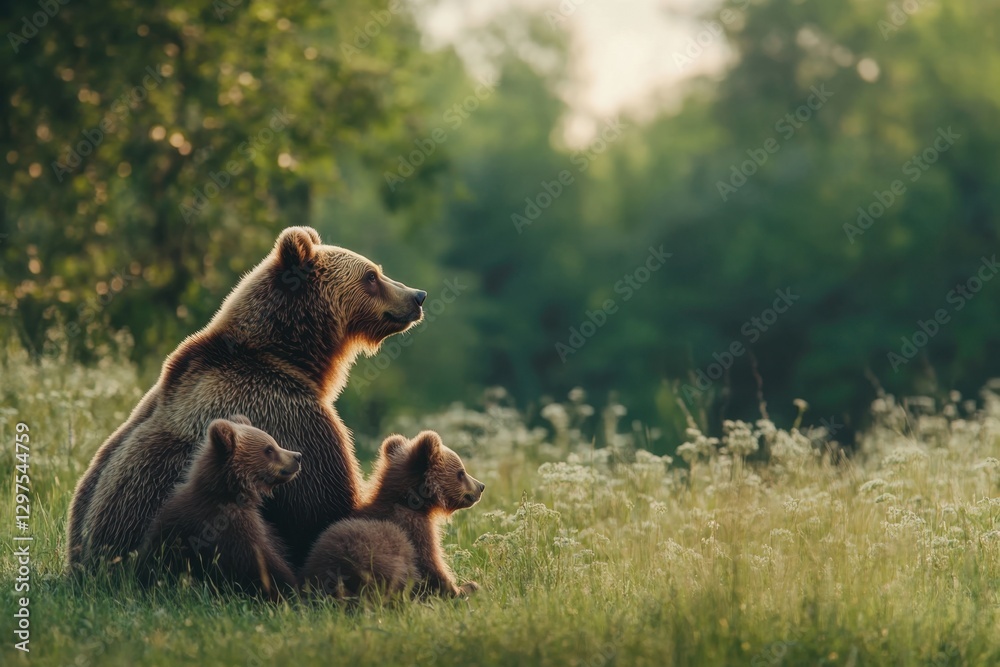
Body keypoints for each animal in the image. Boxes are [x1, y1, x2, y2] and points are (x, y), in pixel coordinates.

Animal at [136, 416, 301, 601]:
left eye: (274, 443)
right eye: (269, 449)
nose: (297, 456)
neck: (228, 492)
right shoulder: (227, 527)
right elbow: (261, 563)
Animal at [300, 431, 484, 599]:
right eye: (461, 472)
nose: (481, 486)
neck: (410, 502)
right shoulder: (414, 529)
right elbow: (430, 564)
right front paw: (465, 587)